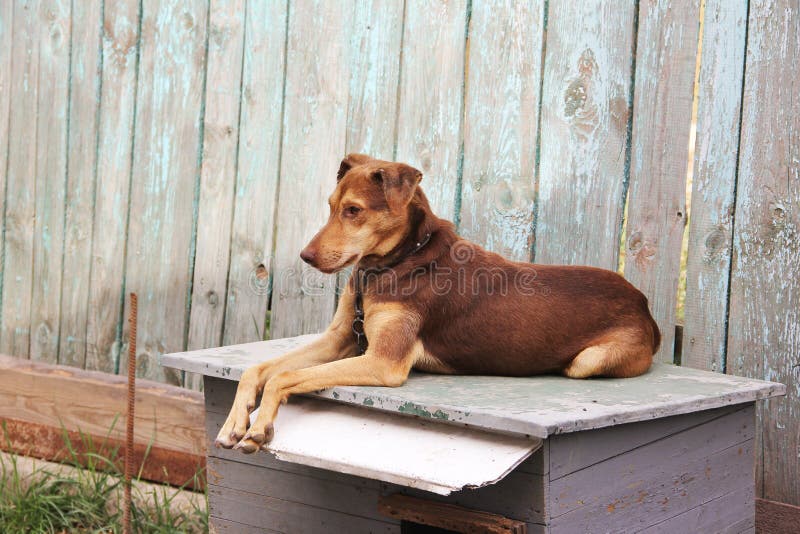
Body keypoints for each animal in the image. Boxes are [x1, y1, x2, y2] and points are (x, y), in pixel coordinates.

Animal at [216, 155, 660, 452]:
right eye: (330, 207)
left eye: (353, 210)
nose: (305, 257)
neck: (393, 264)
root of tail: (644, 304)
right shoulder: (340, 338)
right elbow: (258, 369)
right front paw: (234, 422)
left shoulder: (383, 361)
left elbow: (283, 377)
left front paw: (259, 428)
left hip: (587, 362)